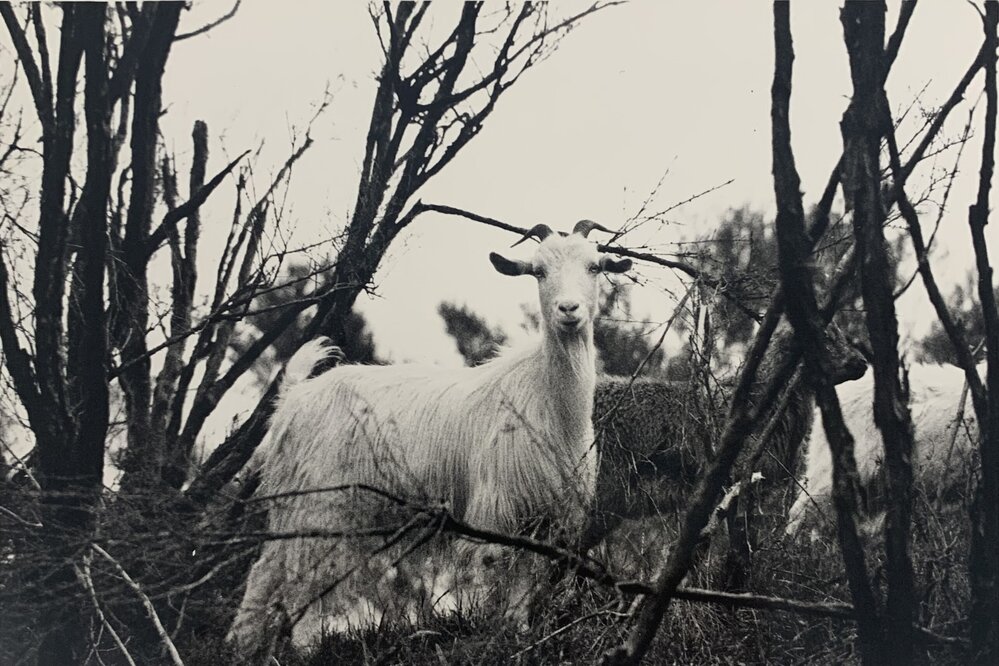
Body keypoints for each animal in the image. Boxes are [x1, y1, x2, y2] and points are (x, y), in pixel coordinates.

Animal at [228, 221, 631, 655]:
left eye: (594, 266)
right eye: (538, 271)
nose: (569, 310)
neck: (547, 398)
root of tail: (294, 397)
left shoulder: (548, 513)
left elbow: (527, 573)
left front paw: (520, 631)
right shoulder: (499, 505)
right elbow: (501, 565)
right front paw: (502, 632)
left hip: (296, 507)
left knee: (266, 569)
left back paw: (242, 645)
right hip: (322, 504)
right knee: (303, 576)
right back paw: (305, 647)